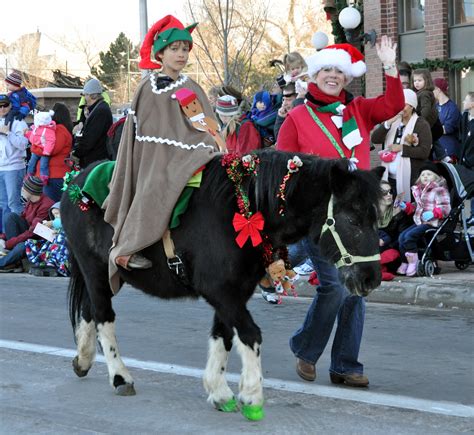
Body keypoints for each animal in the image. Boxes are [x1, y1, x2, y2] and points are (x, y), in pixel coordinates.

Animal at [61, 150, 384, 418]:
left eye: (377, 220)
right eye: (353, 220)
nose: (371, 278)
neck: (244, 209)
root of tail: (75, 181)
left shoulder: (233, 292)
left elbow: (224, 336)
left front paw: (219, 391)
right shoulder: (220, 291)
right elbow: (250, 334)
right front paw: (252, 396)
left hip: (104, 276)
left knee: (89, 310)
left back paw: (83, 360)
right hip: (95, 269)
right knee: (103, 315)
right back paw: (120, 377)